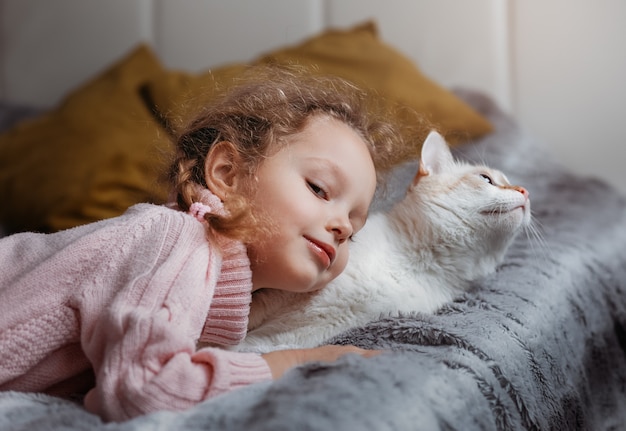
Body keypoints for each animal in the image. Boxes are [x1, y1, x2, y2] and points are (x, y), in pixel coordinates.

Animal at [232, 132, 528, 354]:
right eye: (486, 179)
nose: (525, 191)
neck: (413, 264)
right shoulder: (277, 293)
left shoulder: (307, 331)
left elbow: (252, 347)